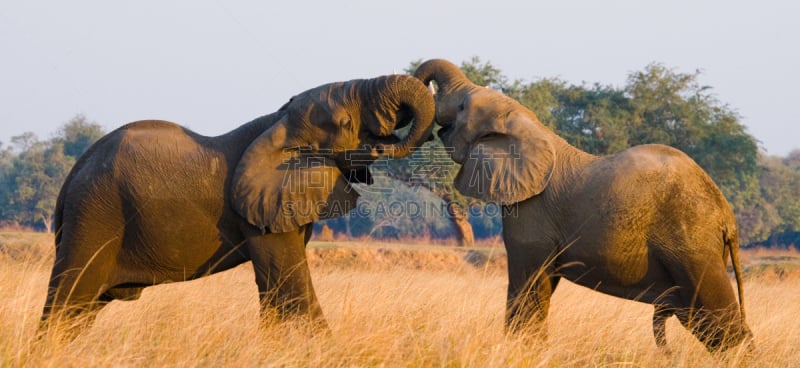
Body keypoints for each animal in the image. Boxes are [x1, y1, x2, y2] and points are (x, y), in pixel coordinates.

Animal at [40, 74, 434, 336]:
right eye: (345, 122)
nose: (382, 142)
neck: (277, 121)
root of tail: (73, 176)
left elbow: (279, 291)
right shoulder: (259, 214)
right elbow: (290, 287)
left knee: (81, 311)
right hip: (95, 216)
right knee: (68, 300)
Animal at [416, 59, 752, 352]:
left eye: (462, 107)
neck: (528, 124)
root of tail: (727, 216)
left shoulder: (532, 213)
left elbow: (529, 286)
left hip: (692, 246)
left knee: (721, 322)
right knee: (702, 321)